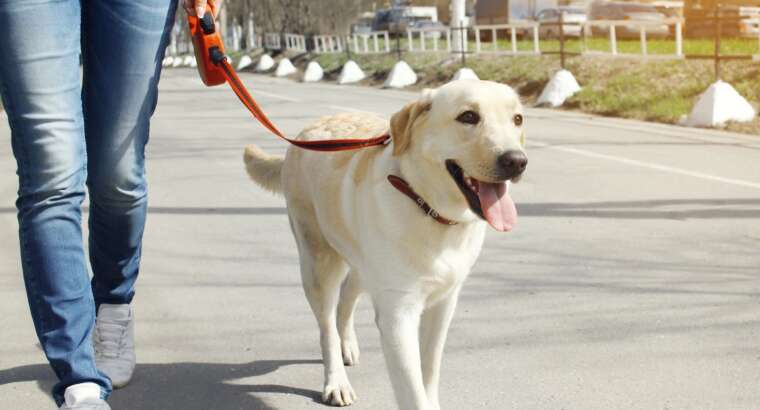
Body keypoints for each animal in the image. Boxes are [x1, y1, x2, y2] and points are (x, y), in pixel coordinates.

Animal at [245, 79, 528, 406]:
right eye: (468, 117)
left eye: (517, 119)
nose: (517, 161)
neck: (427, 207)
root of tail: (304, 134)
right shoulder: (398, 314)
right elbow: (413, 391)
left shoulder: (444, 303)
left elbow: (430, 369)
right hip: (318, 262)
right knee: (326, 324)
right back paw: (336, 380)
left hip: (362, 264)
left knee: (347, 296)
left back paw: (347, 343)